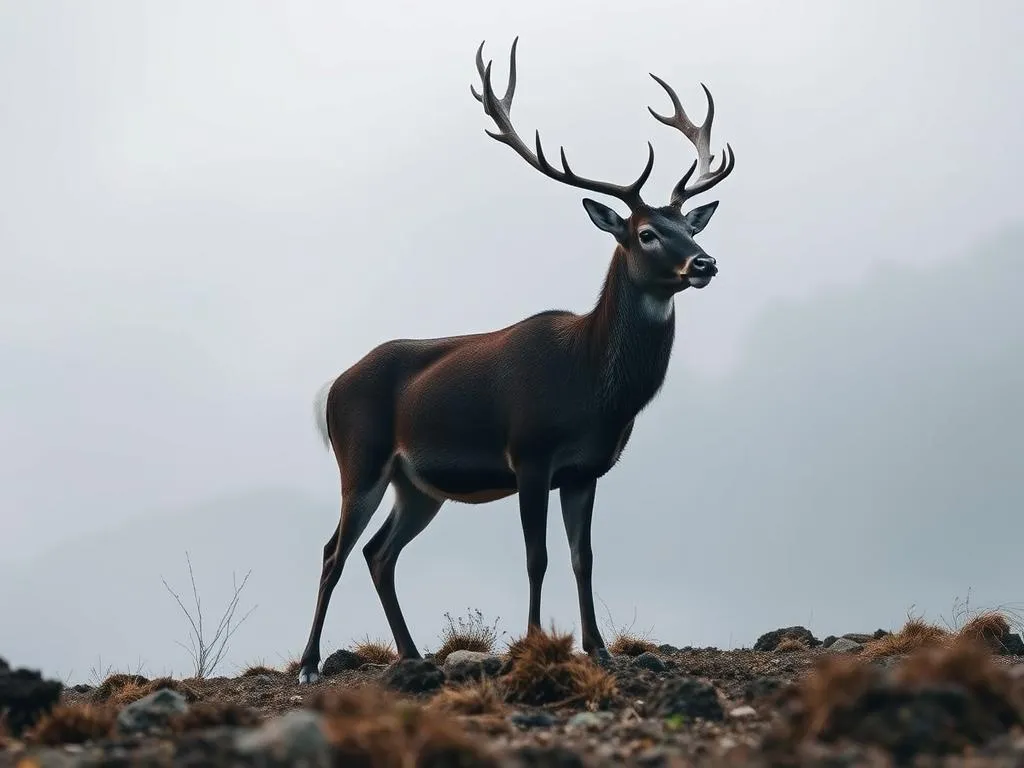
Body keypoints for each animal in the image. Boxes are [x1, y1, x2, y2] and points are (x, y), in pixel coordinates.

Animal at [296, 40, 737, 684]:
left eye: (688, 224)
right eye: (646, 233)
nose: (704, 263)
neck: (592, 392)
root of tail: (329, 388)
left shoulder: (585, 470)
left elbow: (583, 557)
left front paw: (599, 648)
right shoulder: (529, 453)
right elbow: (538, 556)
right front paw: (533, 644)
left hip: (417, 485)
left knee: (380, 553)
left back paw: (412, 653)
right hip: (361, 457)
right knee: (334, 550)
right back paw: (309, 665)